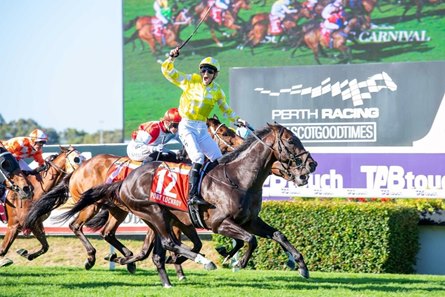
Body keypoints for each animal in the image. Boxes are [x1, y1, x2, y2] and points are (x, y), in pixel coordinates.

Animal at [58, 123, 316, 286]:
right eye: (291, 140)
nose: (311, 164)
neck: (237, 178)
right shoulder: (219, 222)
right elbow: (249, 240)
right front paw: (237, 262)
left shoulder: (249, 220)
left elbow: (277, 235)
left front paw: (300, 265)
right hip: (148, 212)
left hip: (134, 213)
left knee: (113, 234)